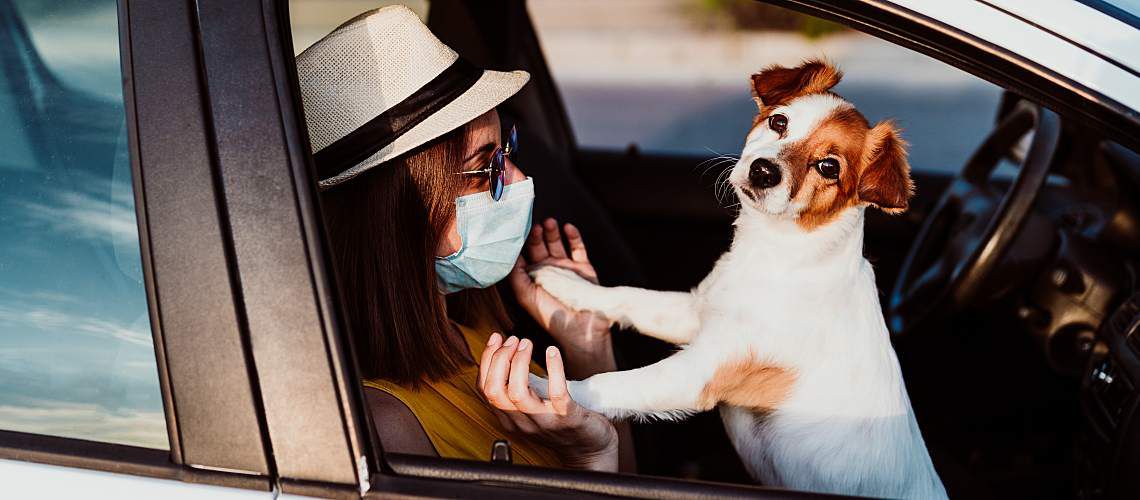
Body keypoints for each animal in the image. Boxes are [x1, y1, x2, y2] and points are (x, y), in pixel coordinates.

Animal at [528, 60, 948, 498]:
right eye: (779, 122)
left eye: (829, 167)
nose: (763, 171)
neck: (776, 258)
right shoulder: (696, 314)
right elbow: (629, 297)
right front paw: (566, 283)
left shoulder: (697, 372)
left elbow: (609, 384)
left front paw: (541, 389)